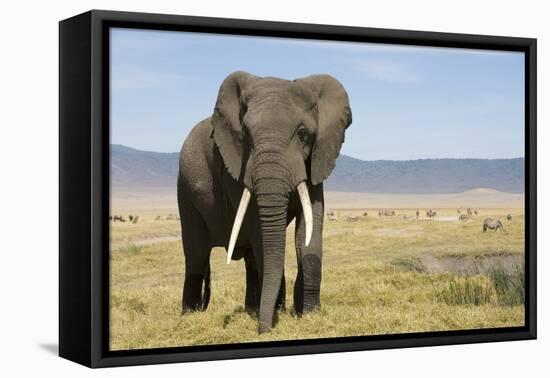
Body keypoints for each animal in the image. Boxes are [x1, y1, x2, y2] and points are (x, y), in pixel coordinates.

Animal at [177, 71, 354, 334]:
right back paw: (189, 316)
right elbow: (260, 232)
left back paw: (252, 309)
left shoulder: (316, 160)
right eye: (247, 135)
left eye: (302, 133)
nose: (264, 330)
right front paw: (276, 315)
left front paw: (308, 314)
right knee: (196, 255)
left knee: (249, 259)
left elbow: (309, 229)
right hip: (185, 191)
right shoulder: (236, 167)